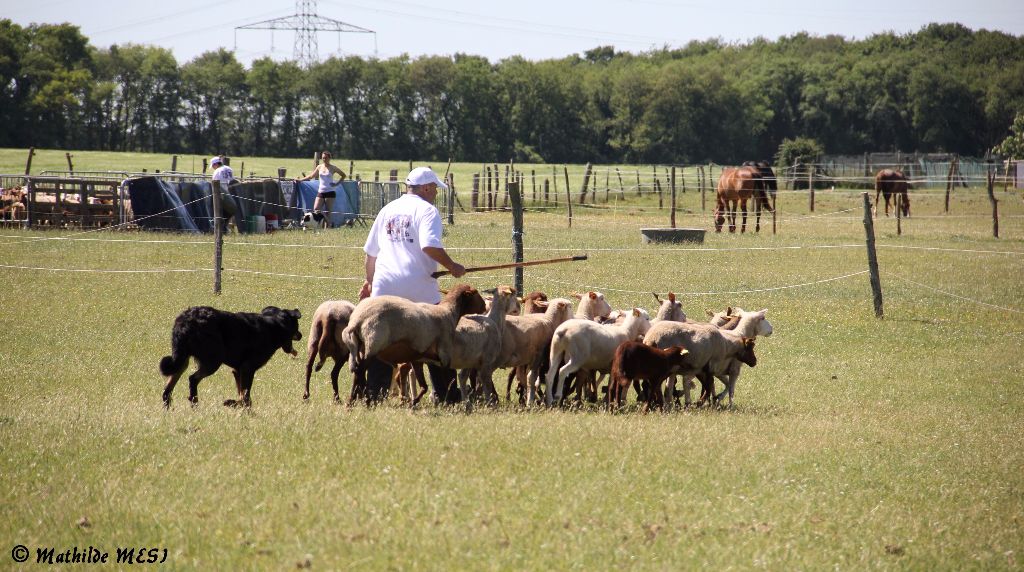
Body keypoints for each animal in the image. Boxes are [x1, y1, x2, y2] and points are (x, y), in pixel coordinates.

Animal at [160, 306, 302, 408]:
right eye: (297, 326)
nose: (300, 335)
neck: (275, 325)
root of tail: (185, 320)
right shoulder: (247, 368)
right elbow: (245, 396)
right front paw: (231, 403)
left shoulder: (237, 370)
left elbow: (242, 395)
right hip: (213, 361)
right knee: (192, 379)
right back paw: (194, 402)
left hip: (182, 360)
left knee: (167, 389)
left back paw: (168, 408)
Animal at [341, 284, 486, 402]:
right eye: (475, 293)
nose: (485, 306)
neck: (449, 313)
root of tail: (357, 319)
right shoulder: (444, 355)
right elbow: (448, 379)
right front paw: (450, 400)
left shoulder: (418, 358)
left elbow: (424, 385)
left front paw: (413, 402)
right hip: (373, 345)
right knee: (360, 371)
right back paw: (360, 399)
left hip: (361, 348)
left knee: (357, 372)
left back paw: (352, 401)